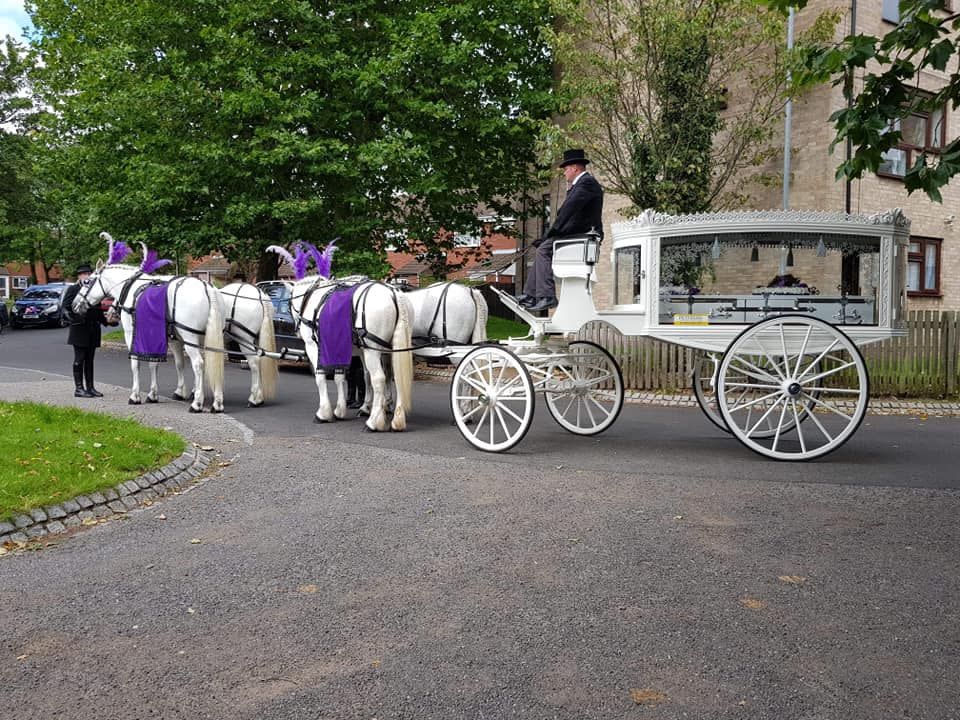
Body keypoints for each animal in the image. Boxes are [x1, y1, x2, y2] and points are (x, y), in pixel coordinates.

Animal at [72, 262, 226, 410]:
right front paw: (156, 394)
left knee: (198, 364)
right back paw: (217, 402)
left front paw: (135, 396)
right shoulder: (169, 338)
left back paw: (197, 403)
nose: (74, 304)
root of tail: (207, 288)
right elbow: (162, 363)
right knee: (214, 362)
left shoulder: (131, 334)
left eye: (87, 282)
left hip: (190, 338)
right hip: (205, 338)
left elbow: (136, 363)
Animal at [290, 278, 414, 430]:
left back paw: (373, 422)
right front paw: (344, 409)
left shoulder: (313, 347)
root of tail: (393, 293)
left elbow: (321, 378)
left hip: (373, 351)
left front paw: (323, 413)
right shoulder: (349, 350)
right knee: (397, 376)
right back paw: (397, 419)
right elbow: (352, 377)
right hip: (392, 349)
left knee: (379, 379)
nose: (295, 330)